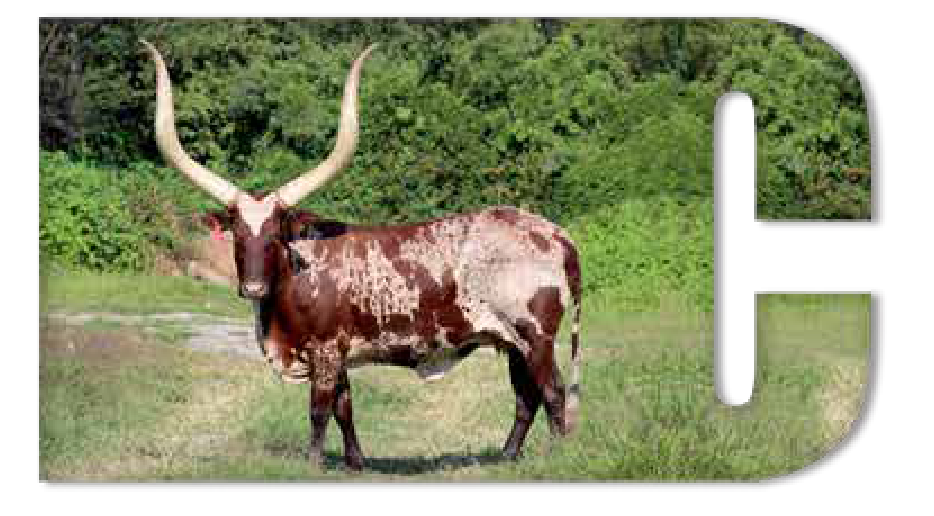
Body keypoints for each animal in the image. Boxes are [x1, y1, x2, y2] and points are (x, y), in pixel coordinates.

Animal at [142, 40, 581, 470]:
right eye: (237, 233)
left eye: (275, 234)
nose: (252, 287)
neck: (295, 278)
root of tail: (557, 235)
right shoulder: (337, 356)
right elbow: (345, 408)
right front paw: (356, 463)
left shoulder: (325, 351)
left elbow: (319, 410)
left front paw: (313, 463)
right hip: (512, 341)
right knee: (527, 397)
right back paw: (507, 456)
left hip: (536, 336)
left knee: (553, 391)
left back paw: (559, 454)